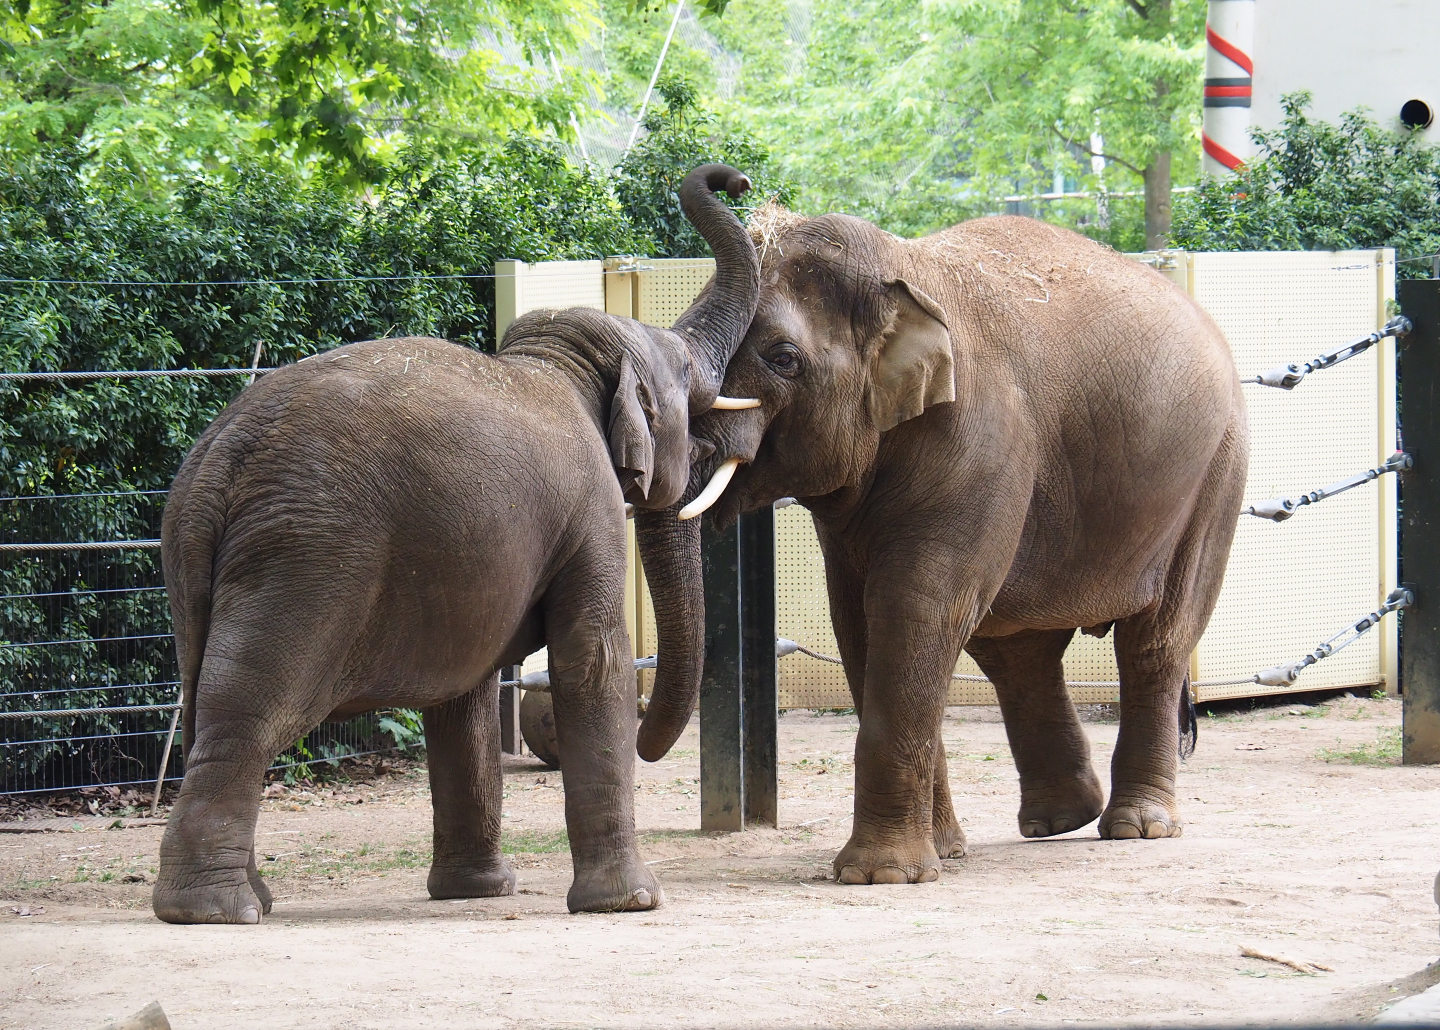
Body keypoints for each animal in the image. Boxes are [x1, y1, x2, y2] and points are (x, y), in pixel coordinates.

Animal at [153, 164, 761, 923]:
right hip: (303, 557)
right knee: (251, 714)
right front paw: (631, 903)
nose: (735, 180)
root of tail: (223, 457)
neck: (565, 355)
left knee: (200, 700)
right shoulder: (589, 510)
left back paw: (248, 898)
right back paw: (215, 910)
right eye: (685, 374)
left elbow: (464, 697)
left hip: (191, 558)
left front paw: (480, 890)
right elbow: (591, 662)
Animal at [637, 207, 1248, 885]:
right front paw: (939, 855)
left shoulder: (978, 436)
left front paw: (880, 876)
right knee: (1016, 650)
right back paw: (1058, 820)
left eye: (783, 359)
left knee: (1156, 639)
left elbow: (915, 607)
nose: (644, 746)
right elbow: (860, 622)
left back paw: (1137, 827)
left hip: (1216, 472)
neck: (900, 272)